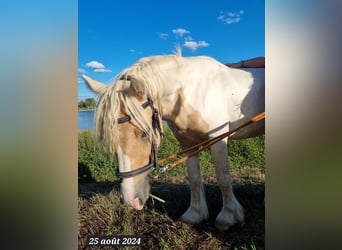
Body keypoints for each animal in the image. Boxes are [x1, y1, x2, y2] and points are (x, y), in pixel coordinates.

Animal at [82, 53, 264, 230]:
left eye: (144, 133)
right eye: (112, 139)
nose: (130, 200)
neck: (192, 92)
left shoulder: (218, 139)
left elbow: (223, 178)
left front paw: (228, 217)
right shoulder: (188, 144)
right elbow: (194, 178)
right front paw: (195, 214)